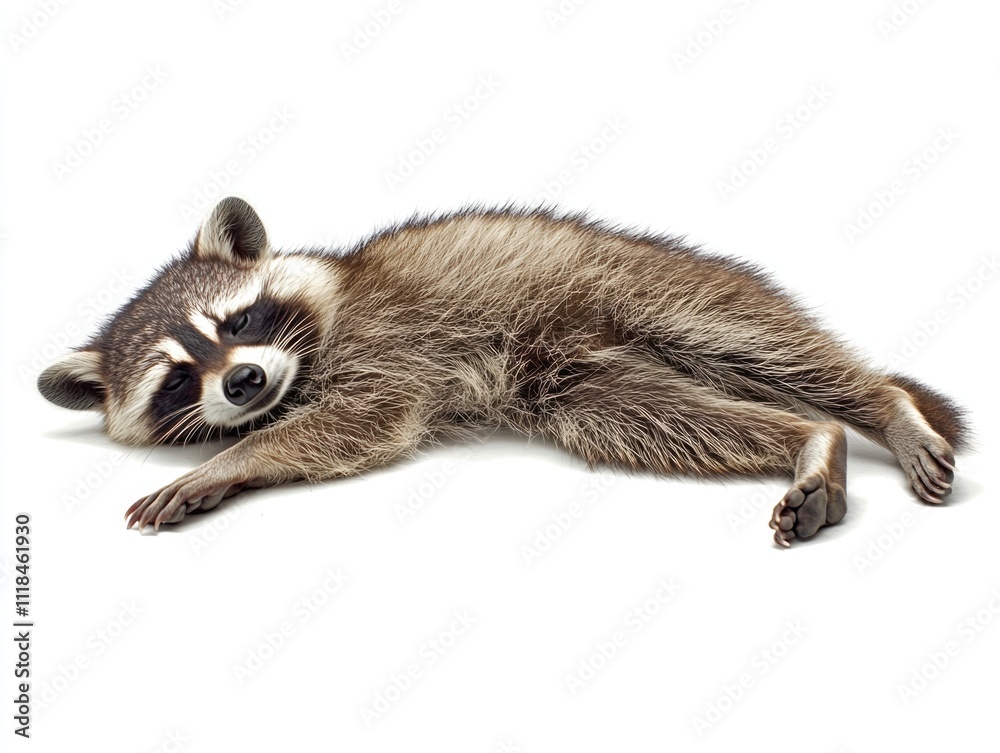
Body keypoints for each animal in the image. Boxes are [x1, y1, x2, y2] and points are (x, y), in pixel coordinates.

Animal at [37, 197, 966, 546]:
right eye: (176, 377)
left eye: (236, 322)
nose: (243, 385)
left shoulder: (386, 344)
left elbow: (358, 420)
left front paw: (229, 462)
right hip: (576, 384)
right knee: (660, 415)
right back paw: (807, 435)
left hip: (650, 285)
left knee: (762, 345)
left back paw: (874, 406)